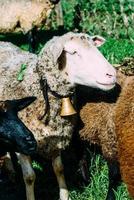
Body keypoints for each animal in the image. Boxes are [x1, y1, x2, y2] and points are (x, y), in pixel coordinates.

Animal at [0, 32, 116, 199]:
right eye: (74, 52)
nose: (112, 74)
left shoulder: (57, 136)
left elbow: (59, 169)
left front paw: (64, 195)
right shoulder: (23, 142)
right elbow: (29, 177)